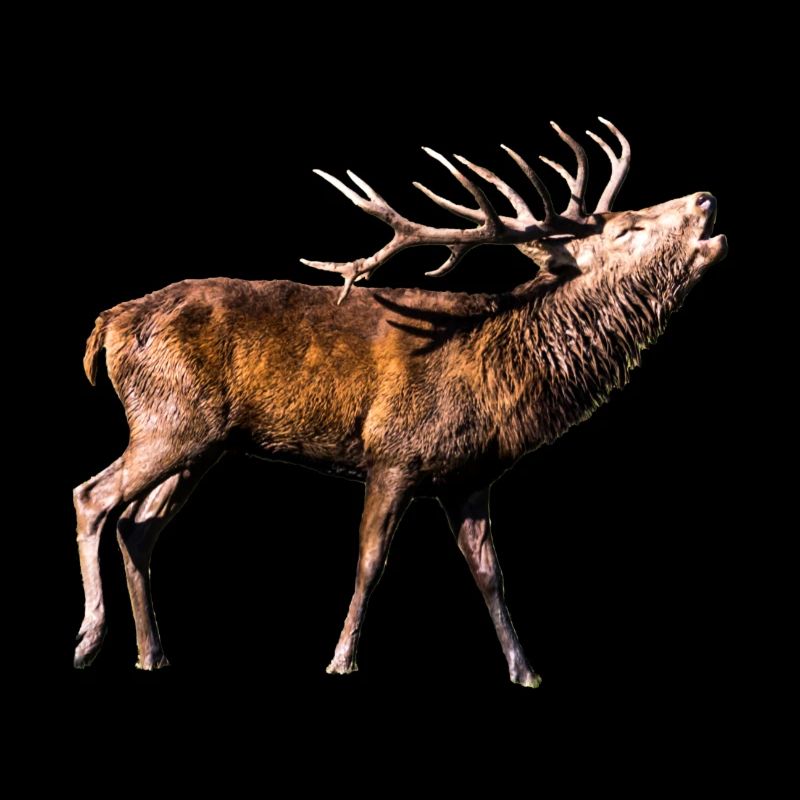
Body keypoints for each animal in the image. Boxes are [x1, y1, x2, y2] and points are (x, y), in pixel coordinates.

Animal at [73, 118, 727, 687]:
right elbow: (370, 561)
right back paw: (88, 641)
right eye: (626, 229)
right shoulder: (393, 452)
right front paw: (341, 660)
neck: (501, 375)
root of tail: (108, 322)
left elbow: (491, 576)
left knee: (138, 525)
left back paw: (151, 653)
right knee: (93, 496)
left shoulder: (470, 478)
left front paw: (526, 671)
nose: (705, 197)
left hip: (202, 442)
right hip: (169, 420)